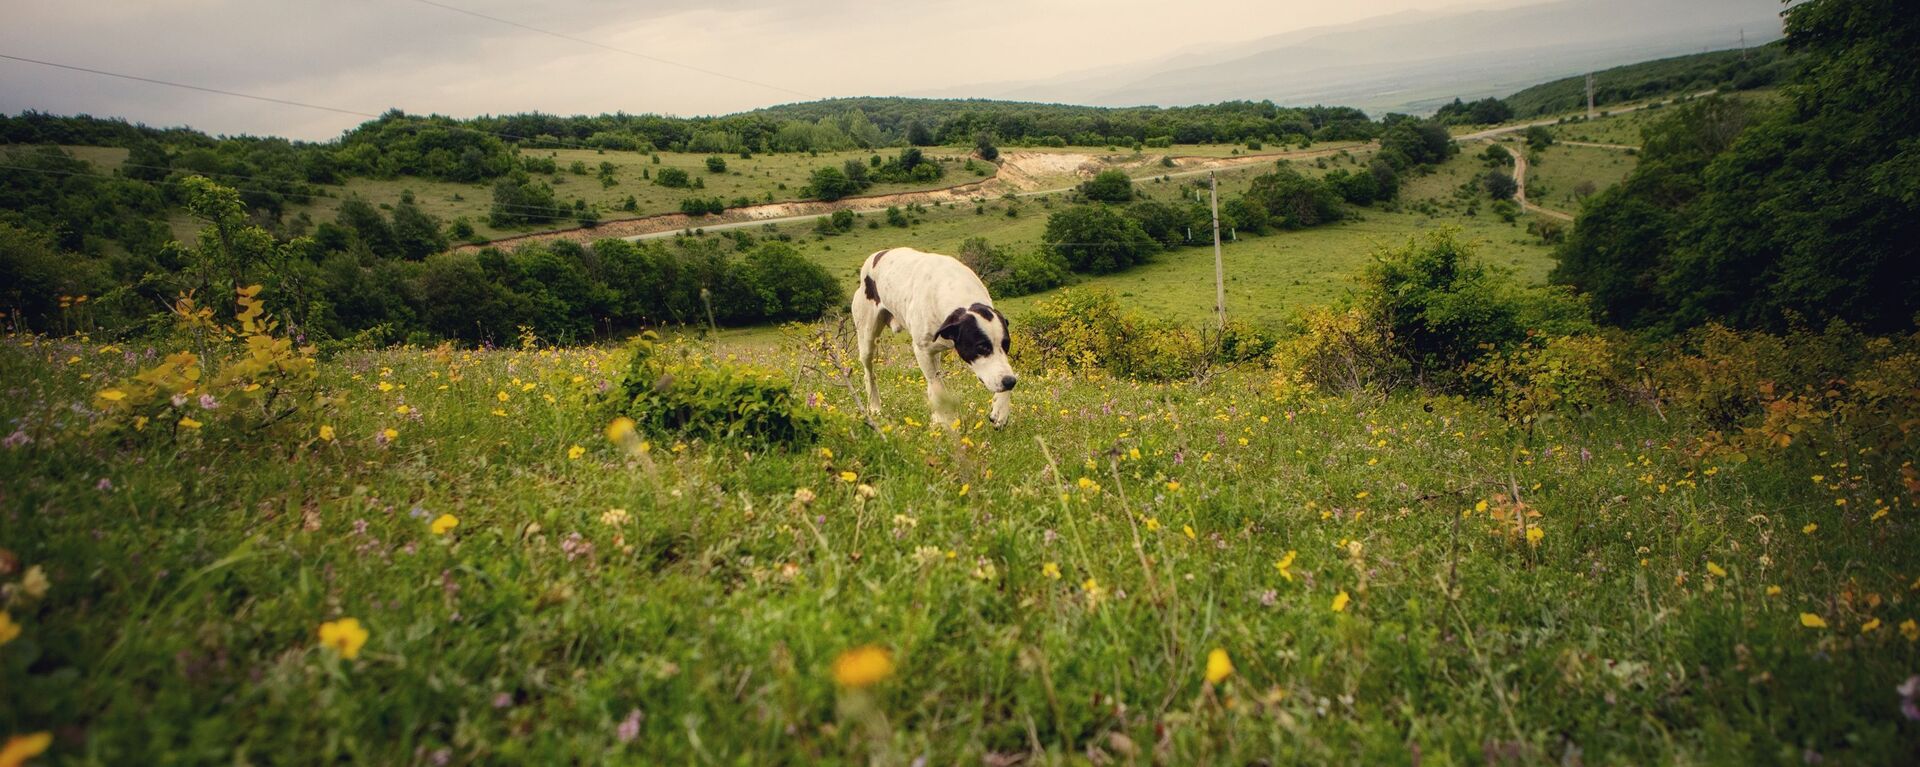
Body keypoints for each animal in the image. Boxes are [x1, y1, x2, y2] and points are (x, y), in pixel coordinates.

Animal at [848, 247, 1013, 426]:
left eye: (1006, 345)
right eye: (981, 347)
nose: (1011, 382)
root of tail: (877, 254)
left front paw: (1001, 409)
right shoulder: (922, 350)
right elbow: (936, 385)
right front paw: (944, 421)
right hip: (867, 338)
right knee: (869, 372)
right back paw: (875, 406)